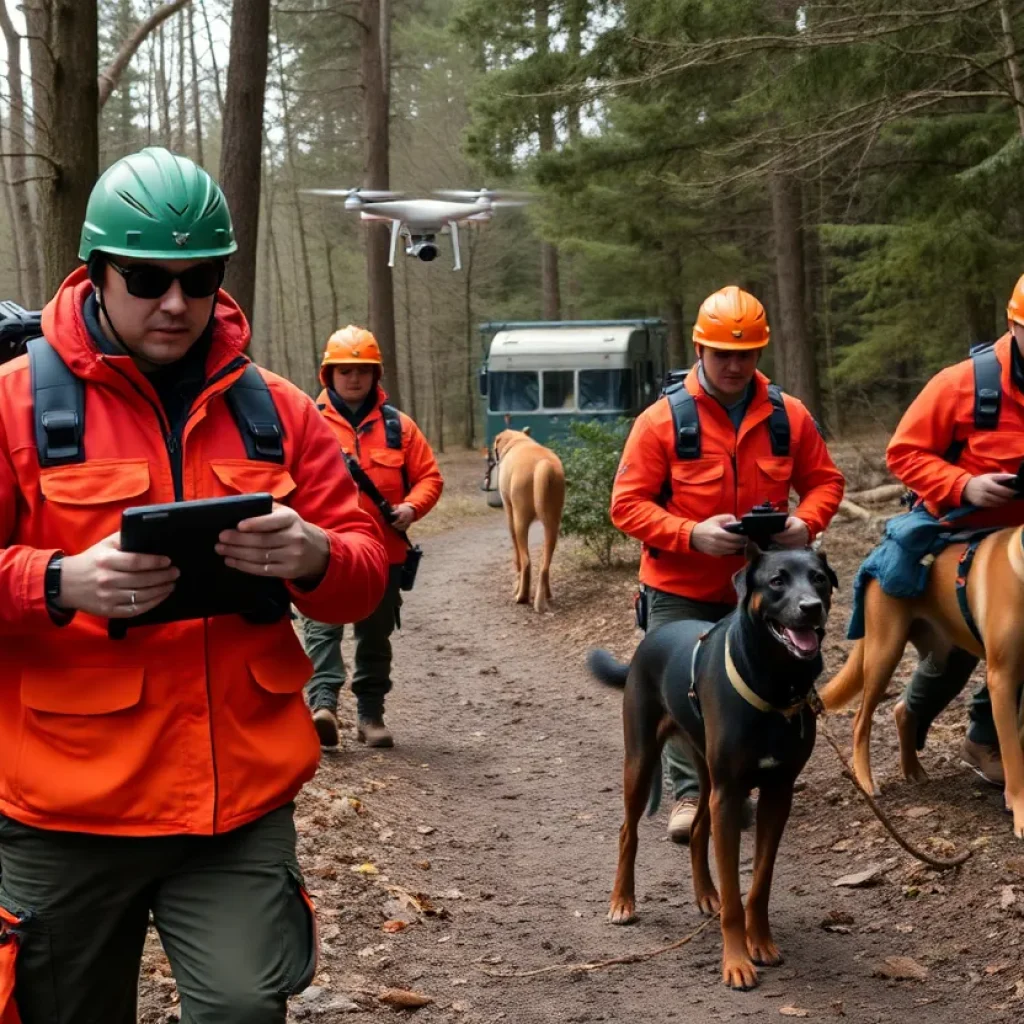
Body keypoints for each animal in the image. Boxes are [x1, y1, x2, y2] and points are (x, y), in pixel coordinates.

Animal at [491, 428, 565, 610]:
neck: (518, 440)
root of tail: (542, 465)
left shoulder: (509, 512)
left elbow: (517, 557)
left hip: (520, 521)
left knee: (526, 562)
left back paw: (521, 596)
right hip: (553, 525)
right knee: (545, 566)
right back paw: (544, 596)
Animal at [819, 528, 1024, 839]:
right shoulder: (1002, 680)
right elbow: (1014, 755)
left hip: (942, 654)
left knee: (904, 708)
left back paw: (912, 769)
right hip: (884, 652)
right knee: (860, 719)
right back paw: (865, 780)